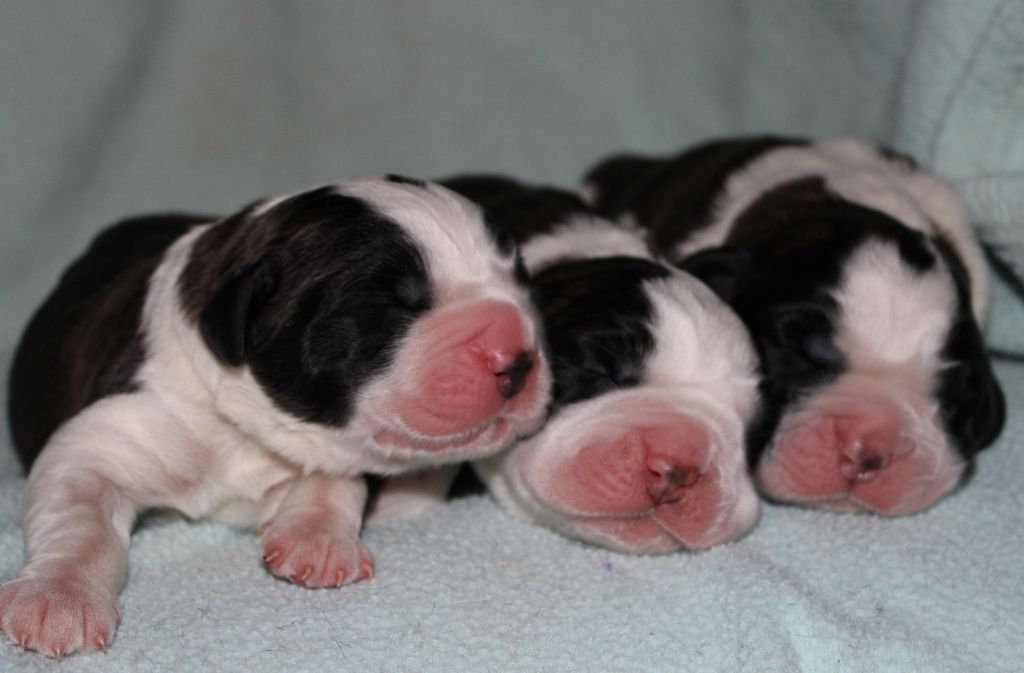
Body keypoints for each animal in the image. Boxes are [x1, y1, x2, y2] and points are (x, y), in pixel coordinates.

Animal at [0, 174, 552, 655]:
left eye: (522, 282)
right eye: (394, 306)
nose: (518, 359)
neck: (244, 434)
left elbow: (337, 478)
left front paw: (316, 539)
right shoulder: (101, 439)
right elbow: (81, 522)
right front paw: (57, 600)